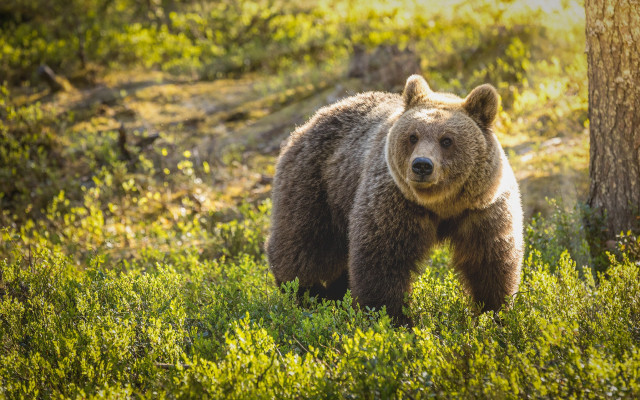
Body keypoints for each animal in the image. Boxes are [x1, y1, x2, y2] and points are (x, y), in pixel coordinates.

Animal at [266, 75, 523, 325]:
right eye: (413, 136)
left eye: (447, 140)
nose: (422, 165)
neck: (441, 204)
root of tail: (311, 120)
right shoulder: (394, 202)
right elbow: (382, 258)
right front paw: (392, 317)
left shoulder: (483, 208)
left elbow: (490, 260)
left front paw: (495, 312)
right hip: (317, 185)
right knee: (306, 246)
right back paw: (307, 293)